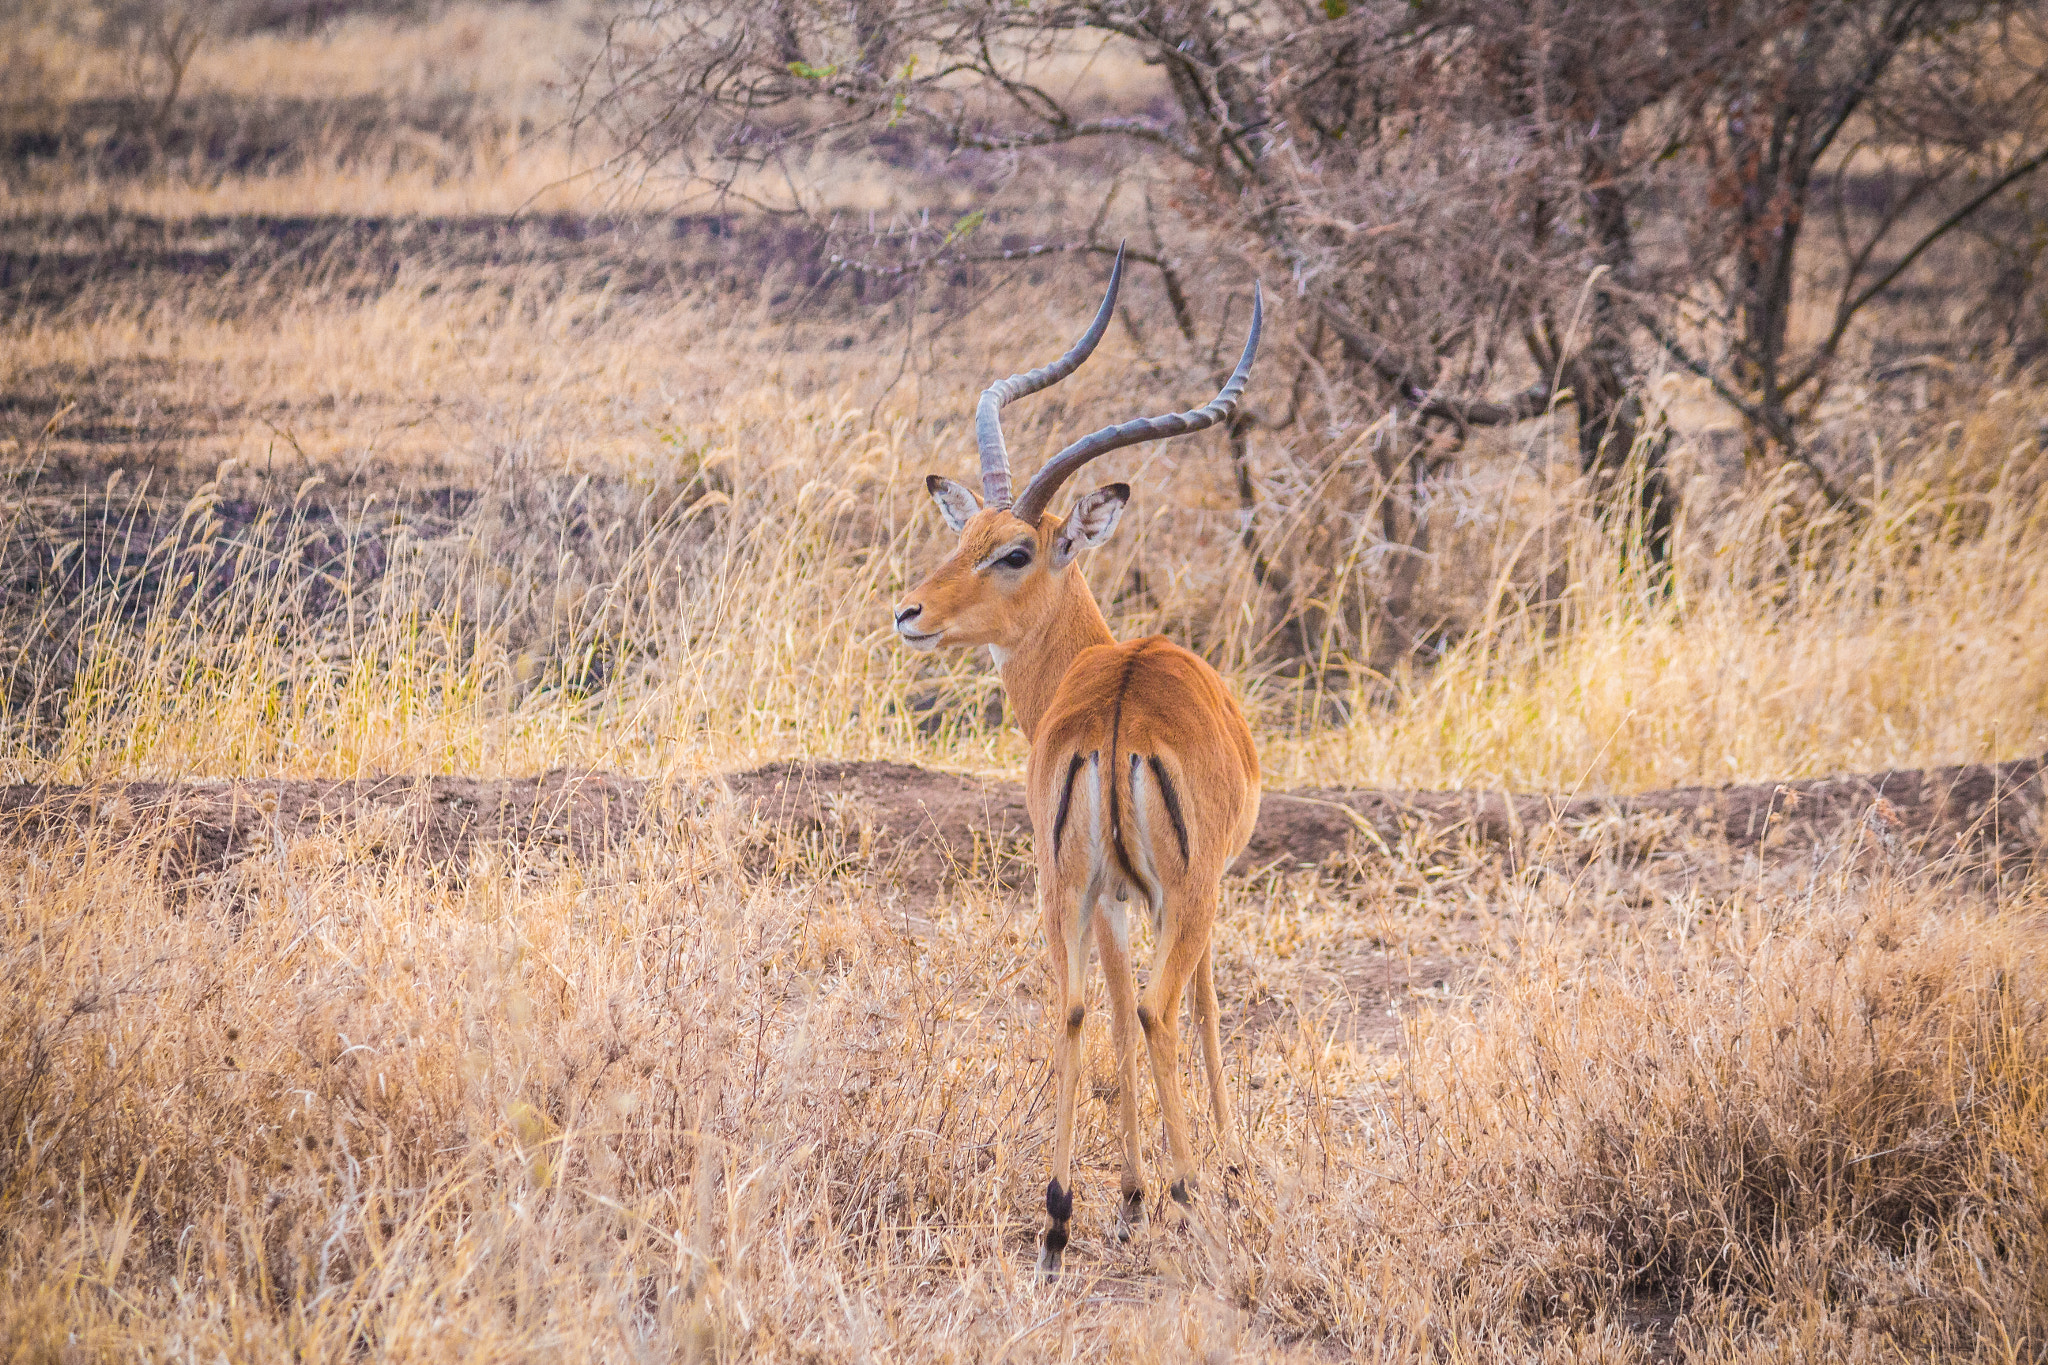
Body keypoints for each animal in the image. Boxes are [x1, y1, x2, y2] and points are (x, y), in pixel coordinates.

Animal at [892, 248, 1262, 1278]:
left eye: (1010, 550)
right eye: (967, 538)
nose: (909, 612)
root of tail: (1120, 707)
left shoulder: (1107, 895)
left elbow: (1106, 999)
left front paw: (1125, 1196)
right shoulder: (1200, 888)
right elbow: (1203, 1007)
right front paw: (1218, 1177)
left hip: (1063, 882)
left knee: (1069, 1006)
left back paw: (1058, 1215)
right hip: (1178, 892)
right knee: (1163, 1011)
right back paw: (1190, 1197)